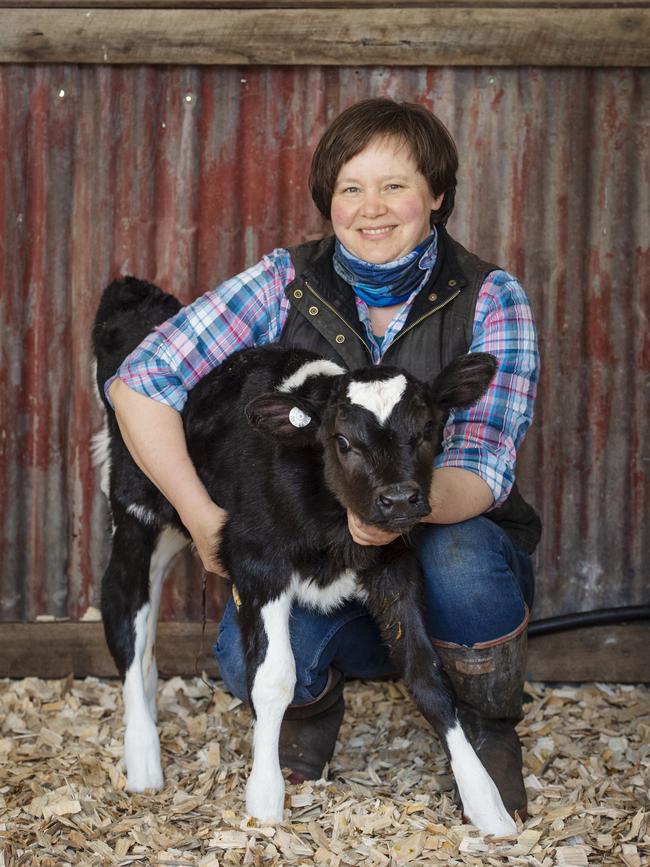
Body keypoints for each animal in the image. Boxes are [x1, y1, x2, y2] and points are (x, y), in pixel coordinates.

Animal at [92, 276, 516, 836]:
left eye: (427, 431)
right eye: (342, 440)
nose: (400, 499)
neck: (332, 527)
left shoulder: (394, 564)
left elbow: (428, 675)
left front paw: (486, 801)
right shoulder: (256, 560)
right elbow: (274, 679)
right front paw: (264, 800)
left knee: (145, 647)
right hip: (134, 512)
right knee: (126, 623)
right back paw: (143, 760)